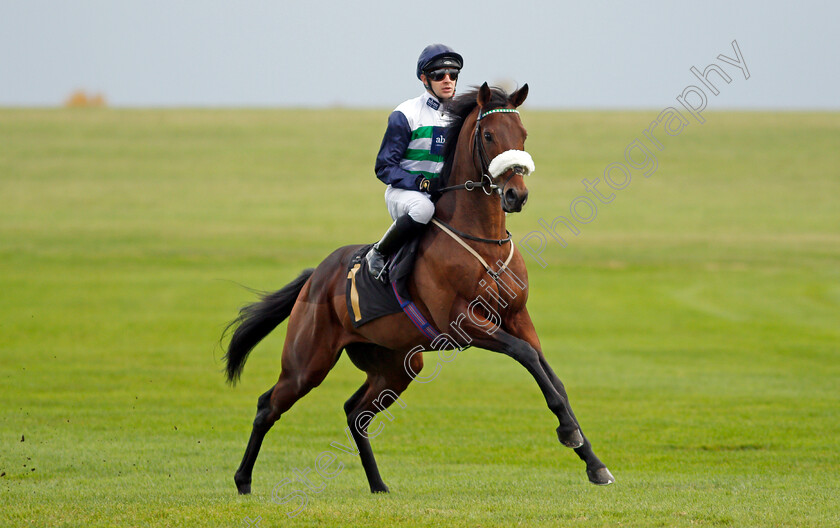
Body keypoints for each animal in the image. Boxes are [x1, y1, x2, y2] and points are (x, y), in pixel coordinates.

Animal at [223, 82, 612, 496]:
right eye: (489, 136)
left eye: (523, 134)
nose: (515, 195)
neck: (483, 242)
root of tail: (316, 277)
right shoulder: (463, 322)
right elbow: (527, 357)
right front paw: (570, 433)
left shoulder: (517, 317)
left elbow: (550, 375)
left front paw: (593, 461)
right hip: (307, 363)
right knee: (268, 405)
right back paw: (243, 480)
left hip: (396, 364)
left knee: (355, 413)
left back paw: (378, 484)